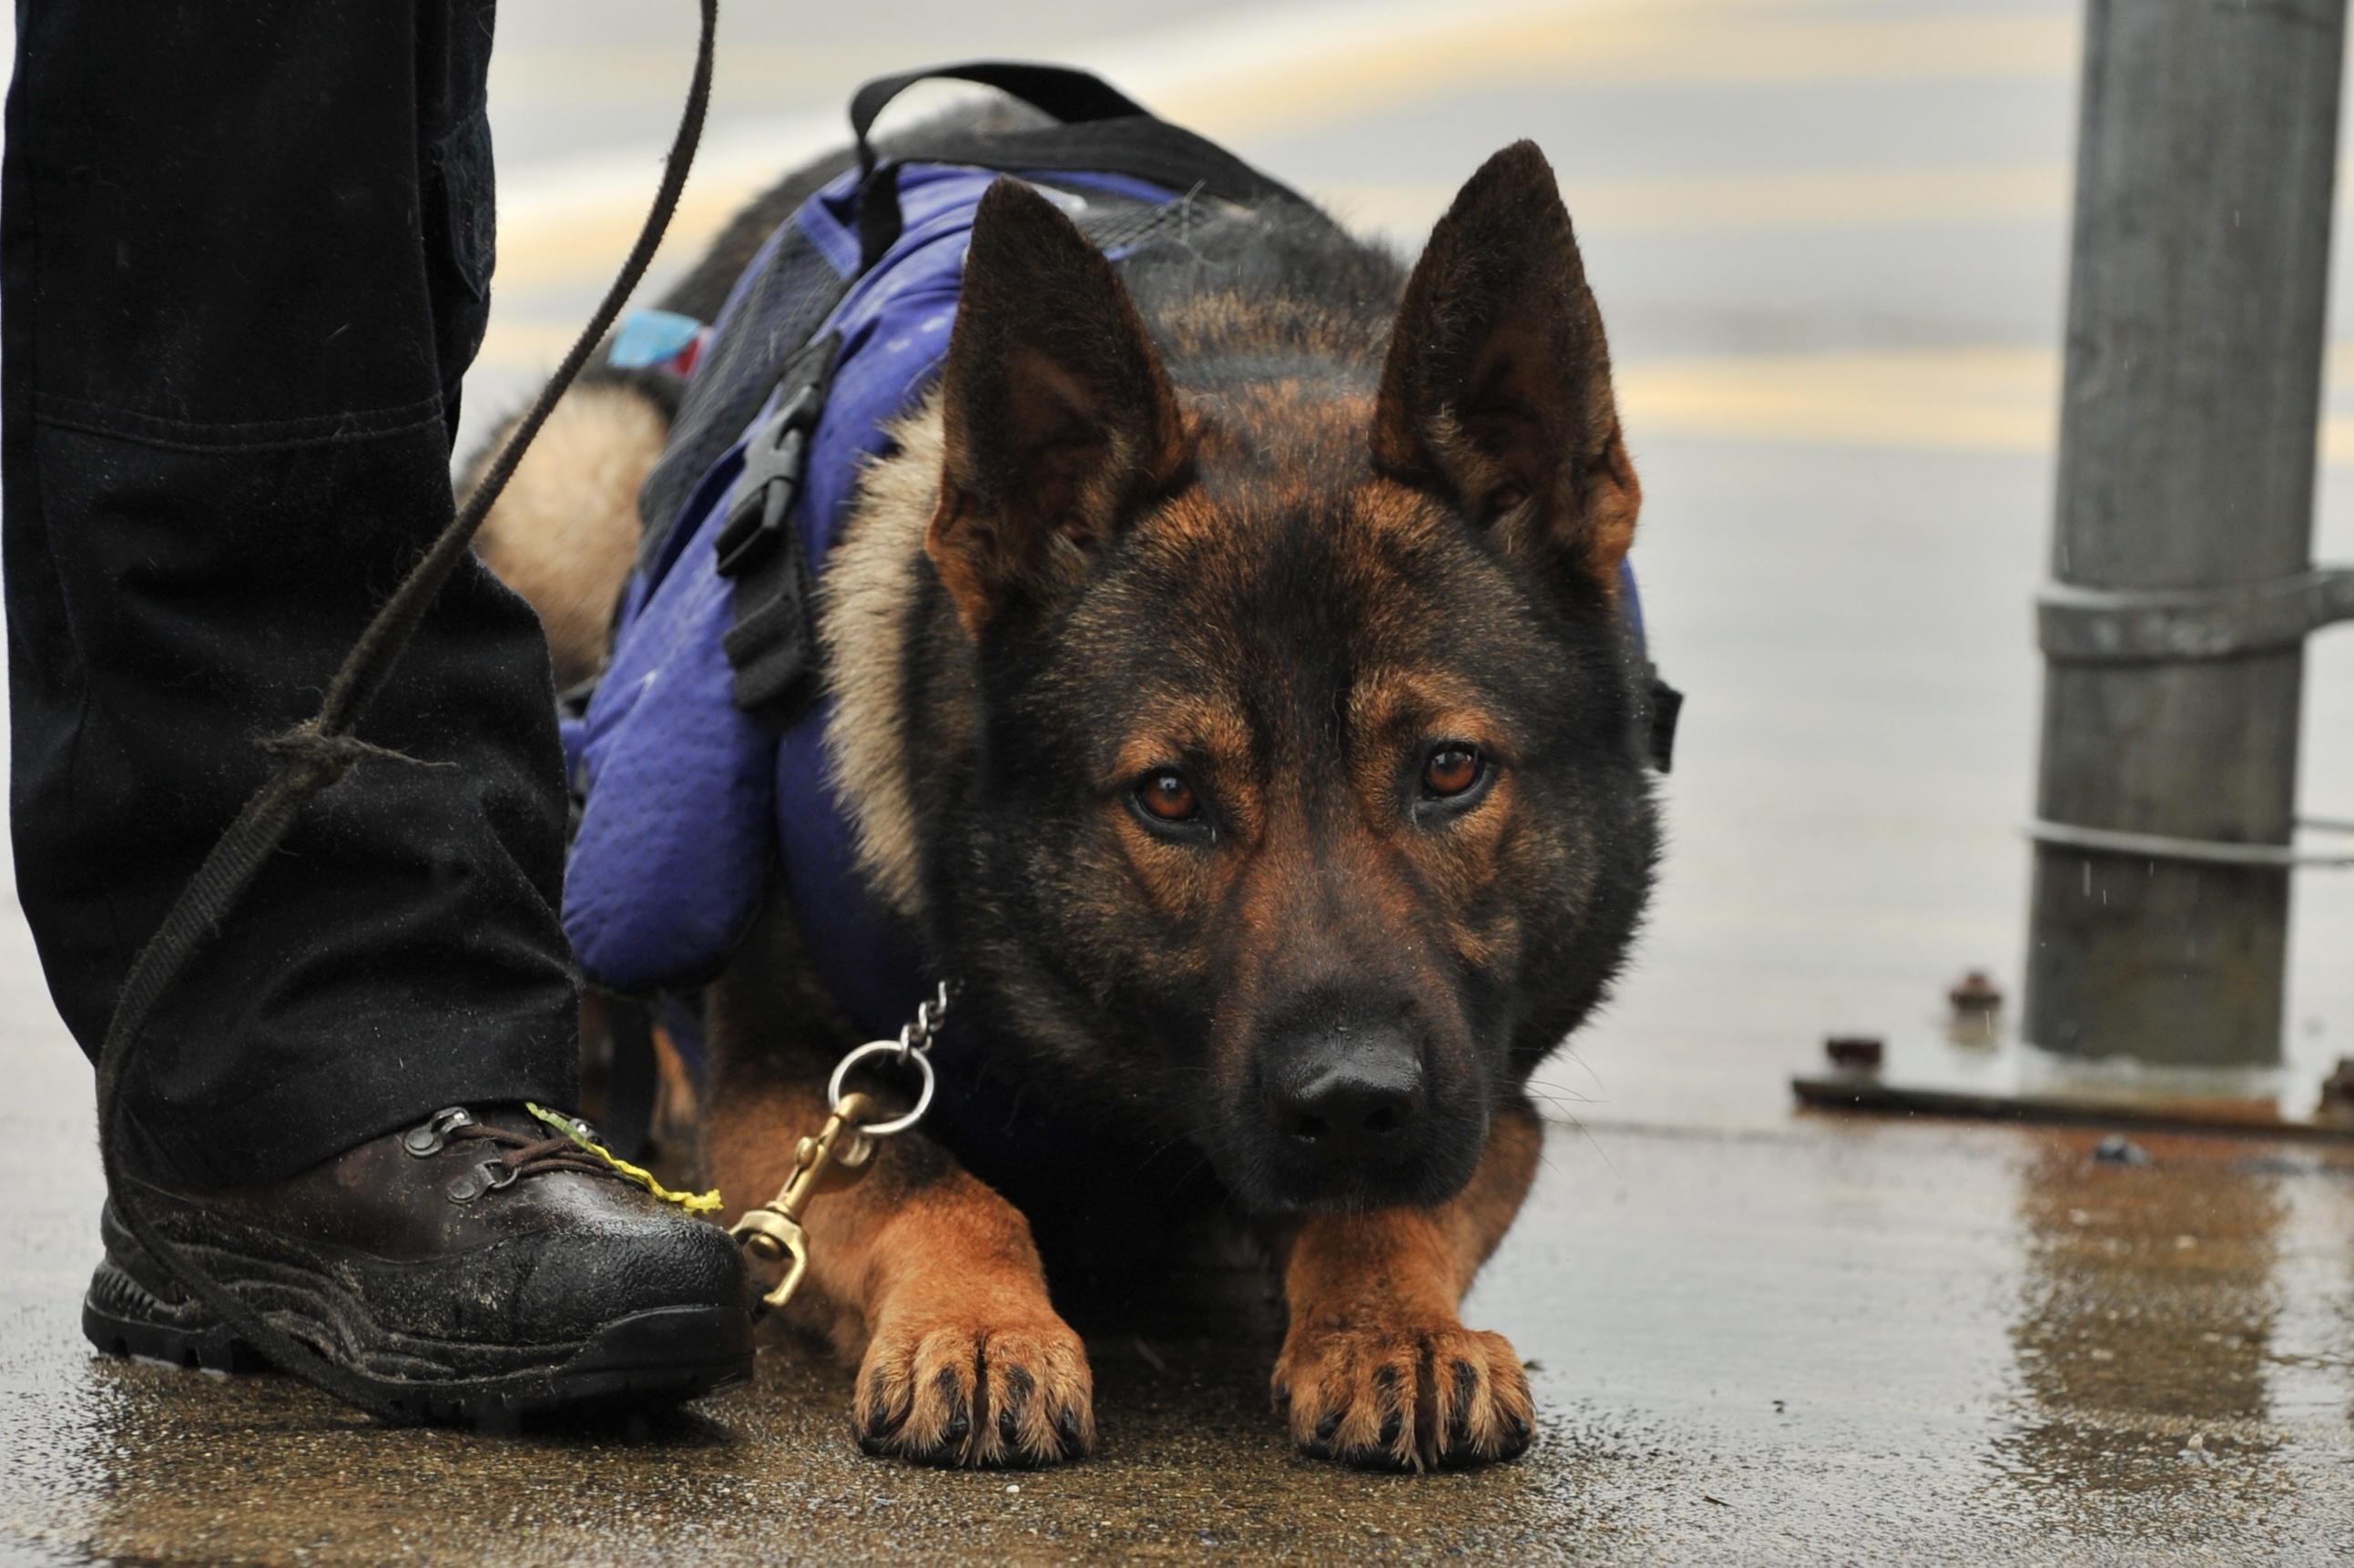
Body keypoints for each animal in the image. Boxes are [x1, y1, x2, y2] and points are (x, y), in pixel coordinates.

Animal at [473, 122, 1656, 1469]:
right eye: (1170, 794)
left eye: (1450, 769)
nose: (1353, 1103)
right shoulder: (790, 1089)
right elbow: (940, 1188)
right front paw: (981, 1324)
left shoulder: (1491, 1097)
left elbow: (1389, 1210)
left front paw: (1391, 1326)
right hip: (565, 482)